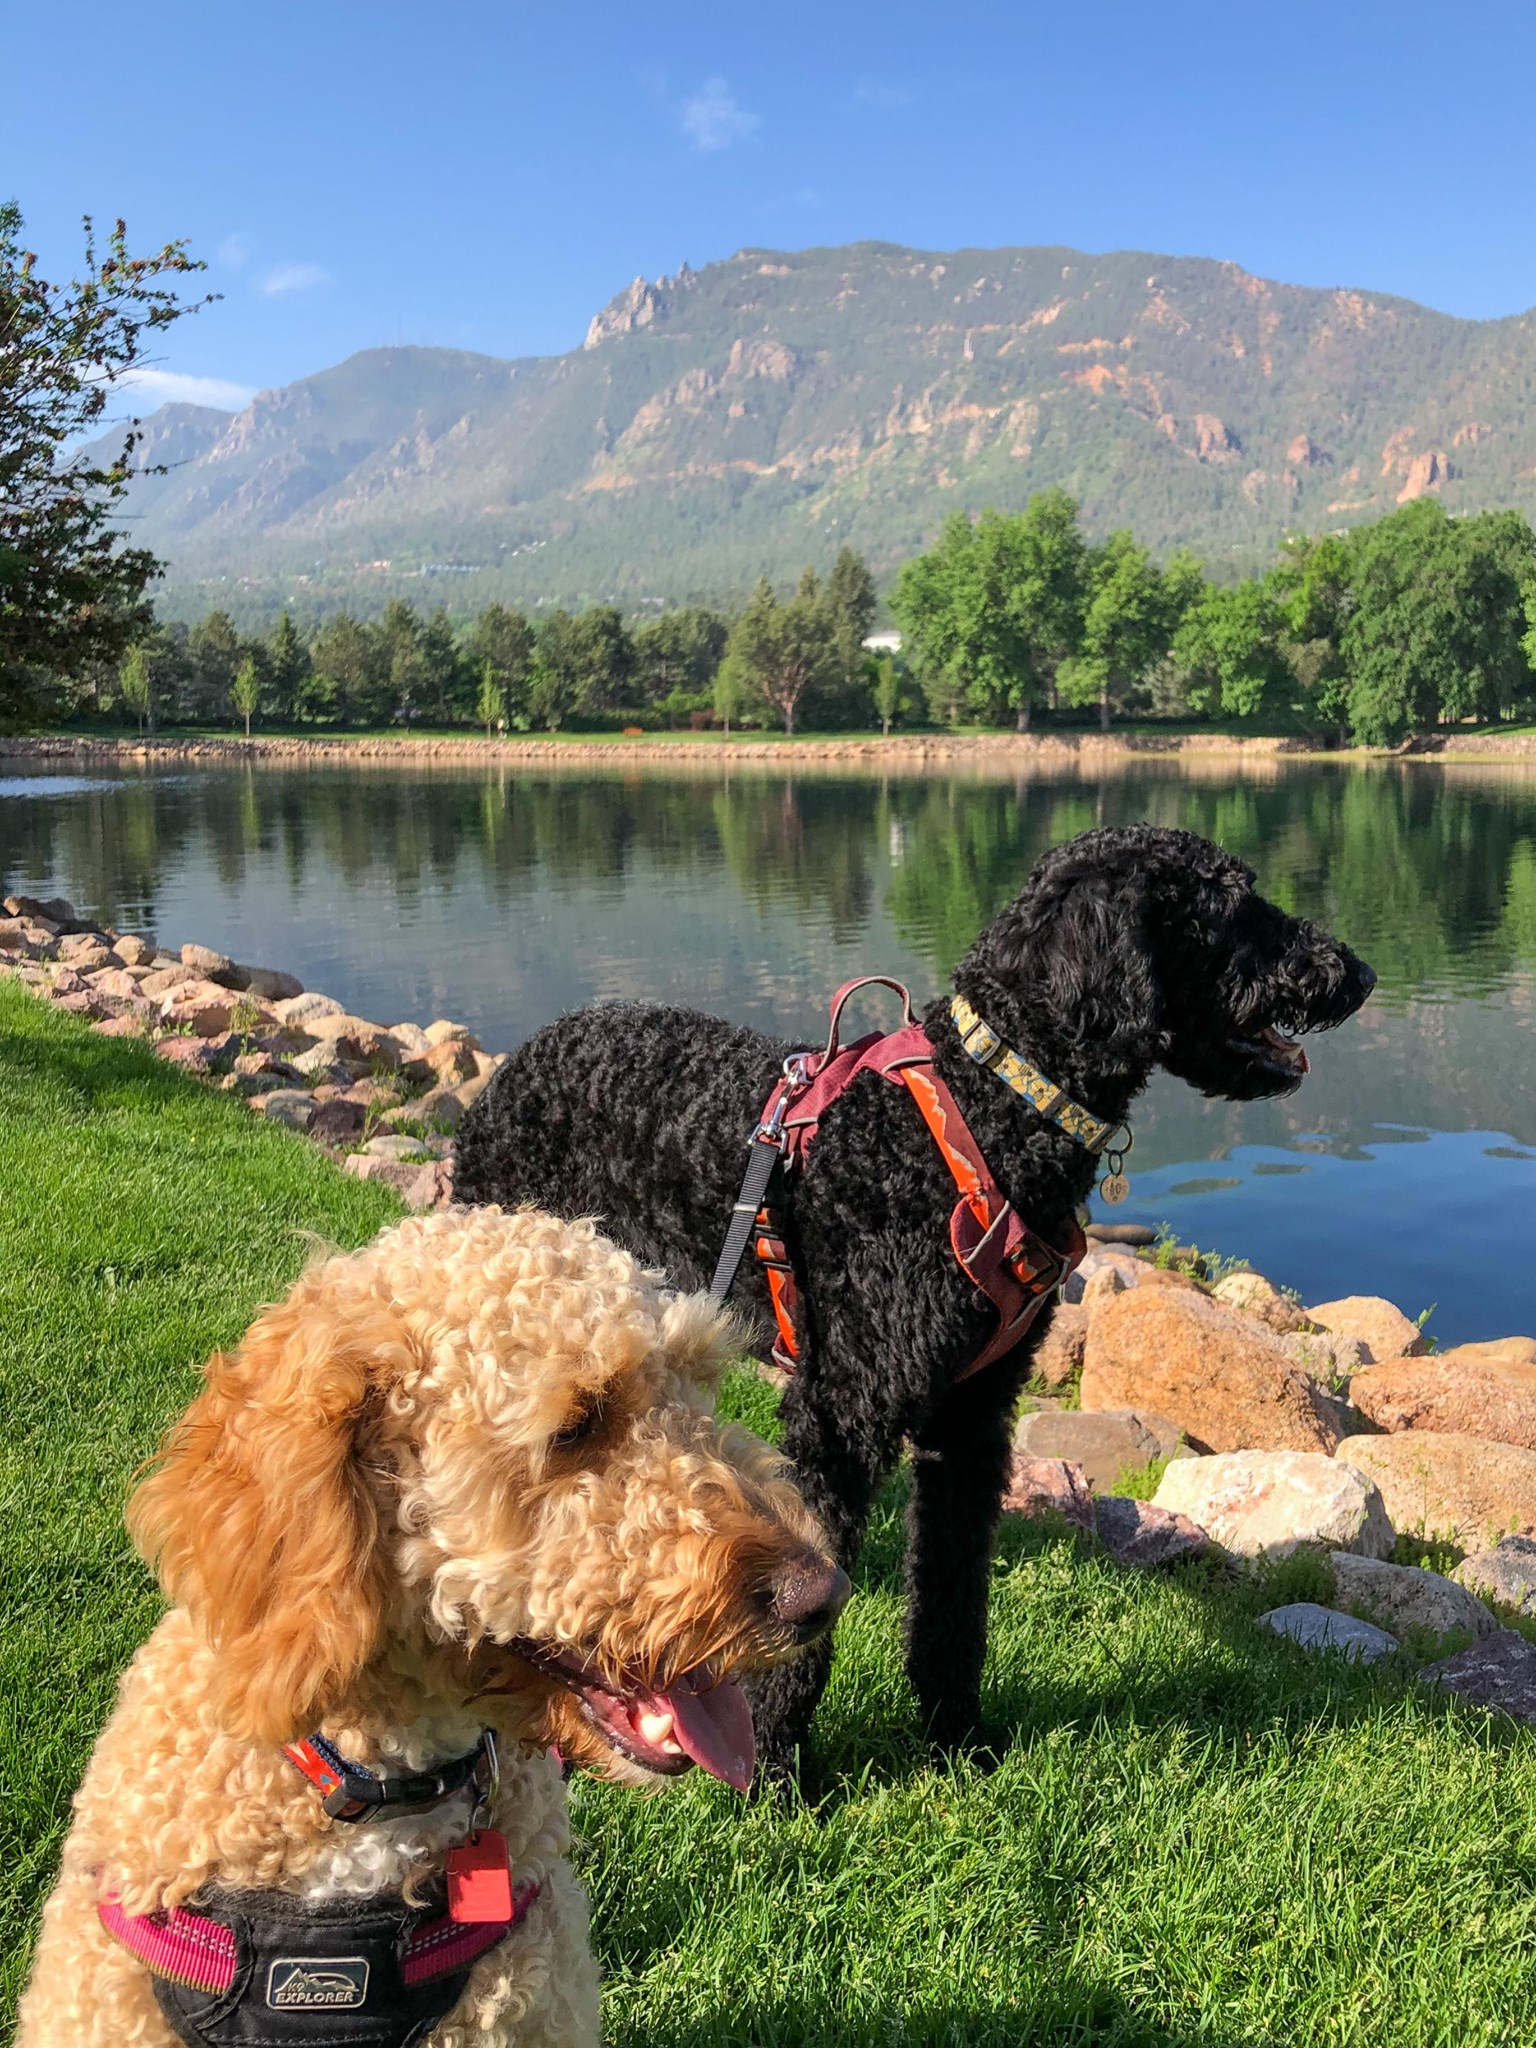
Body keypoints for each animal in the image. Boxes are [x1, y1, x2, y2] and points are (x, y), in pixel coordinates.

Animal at [450, 827, 1376, 1777]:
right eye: (1231, 905)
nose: (1357, 974)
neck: (991, 1108)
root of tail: (515, 1066)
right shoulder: (841, 1413)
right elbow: (806, 1612)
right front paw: (776, 1770)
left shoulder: (972, 1418)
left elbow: (953, 1598)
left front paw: (956, 1737)